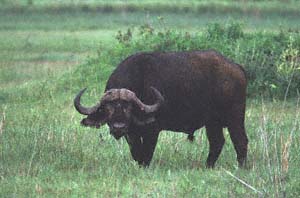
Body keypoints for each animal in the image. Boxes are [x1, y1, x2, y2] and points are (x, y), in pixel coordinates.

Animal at [75, 50, 248, 168]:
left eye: (128, 107)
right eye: (108, 108)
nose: (118, 127)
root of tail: (237, 68)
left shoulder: (152, 131)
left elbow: (147, 153)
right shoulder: (131, 134)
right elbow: (136, 152)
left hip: (235, 117)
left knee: (240, 140)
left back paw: (241, 167)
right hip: (213, 122)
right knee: (217, 142)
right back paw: (208, 166)